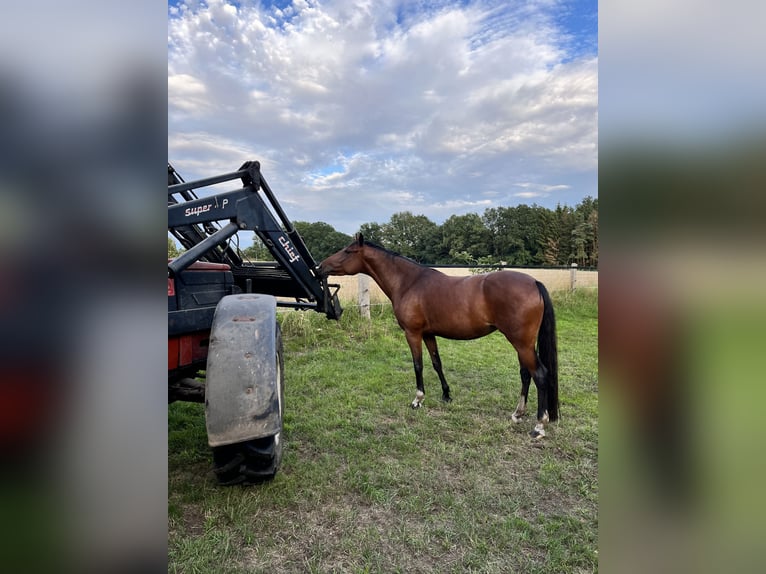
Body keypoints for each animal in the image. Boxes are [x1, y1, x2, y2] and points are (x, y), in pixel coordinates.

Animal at [317, 233, 559, 438]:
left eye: (348, 251)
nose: (320, 267)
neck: (409, 283)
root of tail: (534, 282)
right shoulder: (429, 334)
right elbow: (436, 363)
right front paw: (446, 395)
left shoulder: (413, 333)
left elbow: (418, 365)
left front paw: (418, 400)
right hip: (522, 344)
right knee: (525, 374)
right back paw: (517, 414)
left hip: (521, 343)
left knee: (539, 375)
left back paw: (539, 426)